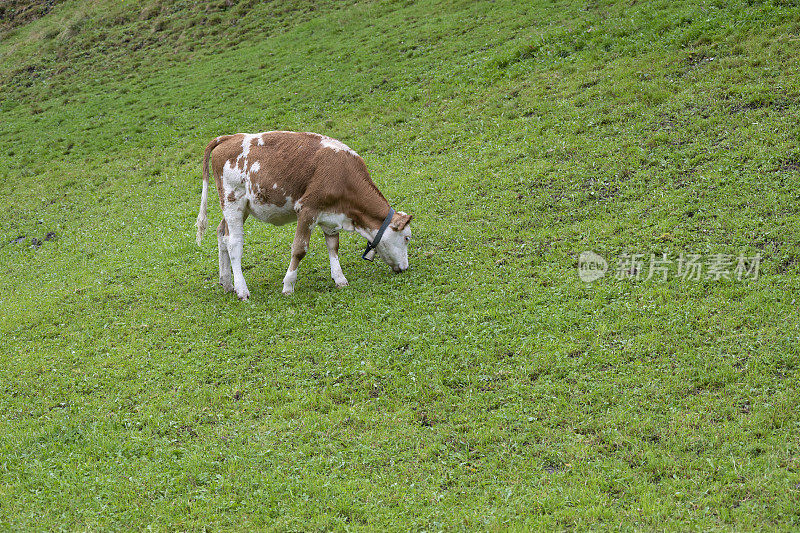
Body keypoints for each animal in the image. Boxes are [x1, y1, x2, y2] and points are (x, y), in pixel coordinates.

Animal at [195, 130, 412, 300]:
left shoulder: (330, 216)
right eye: (407, 238)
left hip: (241, 207)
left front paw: (340, 279)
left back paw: (226, 283)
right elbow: (299, 249)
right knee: (233, 243)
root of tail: (230, 137)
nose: (405, 268)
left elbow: (333, 246)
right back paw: (241, 289)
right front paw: (288, 286)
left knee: (222, 234)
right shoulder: (307, 209)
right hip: (233, 201)